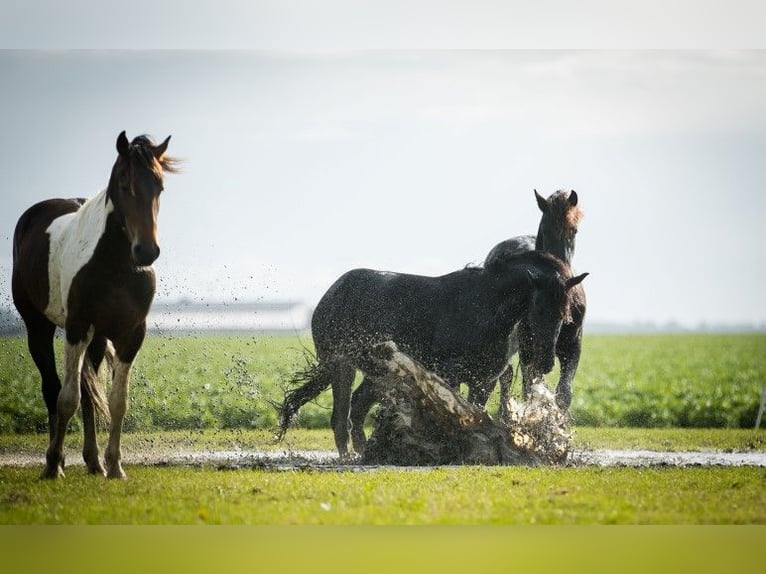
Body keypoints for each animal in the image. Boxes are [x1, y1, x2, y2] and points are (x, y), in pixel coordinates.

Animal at [11, 132, 179, 482]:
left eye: (159, 186)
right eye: (125, 183)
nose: (147, 251)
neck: (116, 265)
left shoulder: (131, 335)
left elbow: (117, 401)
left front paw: (114, 464)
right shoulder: (76, 328)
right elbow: (66, 399)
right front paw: (53, 464)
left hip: (98, 339)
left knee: (89, 397)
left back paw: (93, 461)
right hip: (39, 328)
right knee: (52, 389)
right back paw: (57, 460)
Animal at [280, 252, 588, 460]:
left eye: (565, 314)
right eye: (538, 308)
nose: (545, 363)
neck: (485, 306)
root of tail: (332, 292)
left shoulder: (485, 379)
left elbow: (476, 412)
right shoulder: (449, 374)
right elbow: (458, 412)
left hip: (376, 372)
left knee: (357, 405)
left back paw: (367, 450)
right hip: (341, 365)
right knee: (340, 413)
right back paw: (350, 456)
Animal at [486, 191, 588, 416]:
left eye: (574, 230)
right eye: (546, 229)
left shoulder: (572, 346)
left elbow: (564, 393)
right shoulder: (530, 349)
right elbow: (530, 388)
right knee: (506, 377)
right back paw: (505, 414)